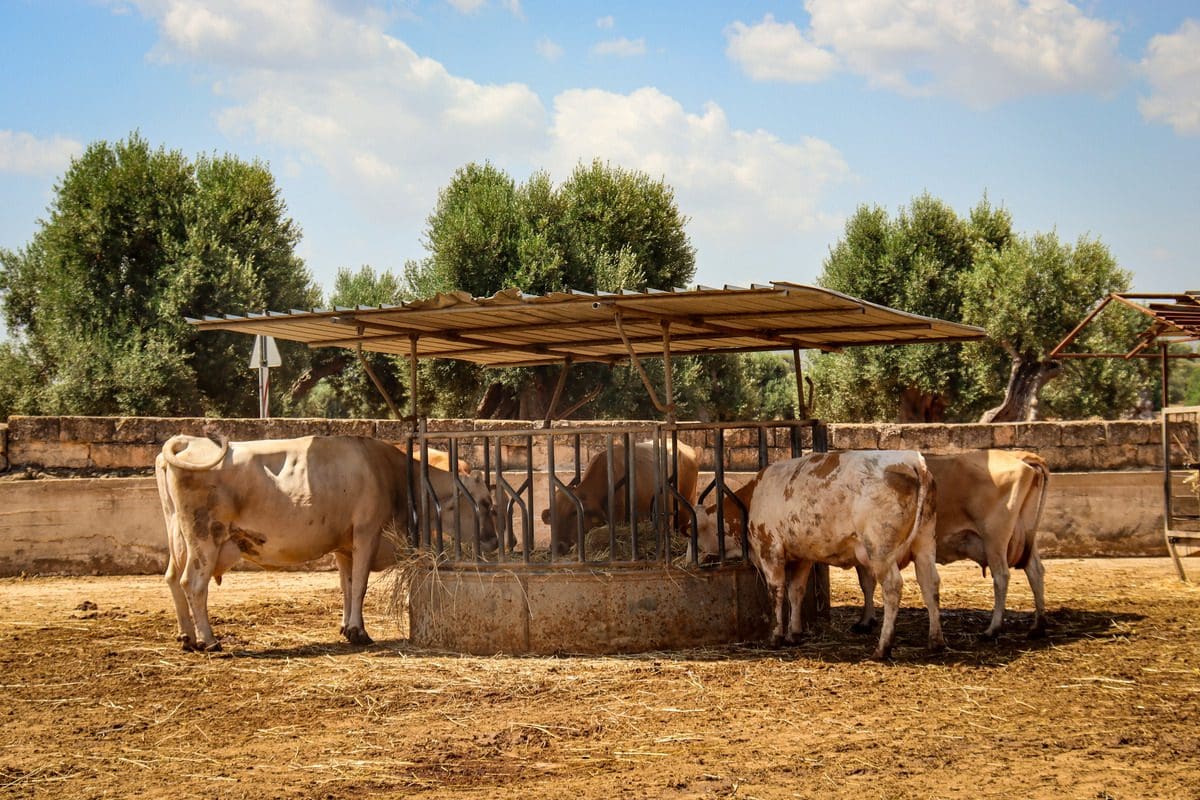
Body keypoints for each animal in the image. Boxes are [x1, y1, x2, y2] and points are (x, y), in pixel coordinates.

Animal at [696, 450, 945, 662]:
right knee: (929, 583)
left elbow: (776, 592)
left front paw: (776, 635)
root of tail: (913, 460)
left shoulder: (770, 549)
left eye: (693, 533)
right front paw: (794, 633)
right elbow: (795, 591)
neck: (753, 498)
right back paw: (935, 641)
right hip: (924, 542)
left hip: (879, 549)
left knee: (893, 587)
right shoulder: (802, 556)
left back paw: (883, 648)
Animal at [854, 450, 1051, 638]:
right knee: (1035, 570)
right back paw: (1038, 626)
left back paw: (993, 629)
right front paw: (867, 620)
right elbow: (866, 583)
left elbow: (867, 583)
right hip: (1025, 535)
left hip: (995, 538)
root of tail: (1018, 456)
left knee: (1002, 576)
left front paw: (865, 620)